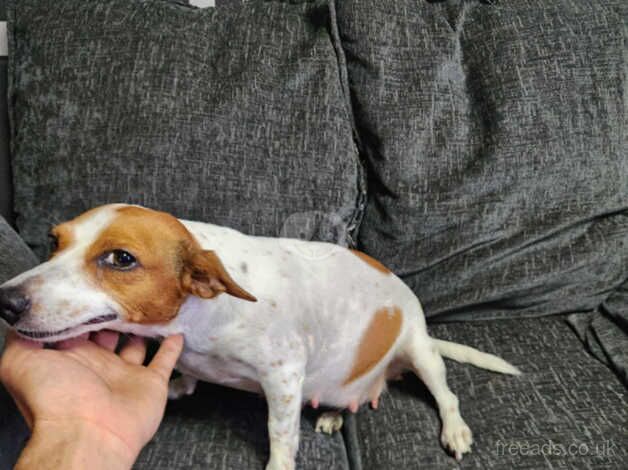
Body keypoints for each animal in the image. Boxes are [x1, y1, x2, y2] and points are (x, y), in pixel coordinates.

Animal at [0, 204, 520, 468]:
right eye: (54, 241)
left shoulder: (283, 376)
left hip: (421, 352)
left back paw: (454, 429)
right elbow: (185, 378)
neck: (196, 316)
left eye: (121, 259)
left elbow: (280, 435)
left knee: (447, 395)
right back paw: (332, 413)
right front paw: (175, 385)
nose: (5, 301)